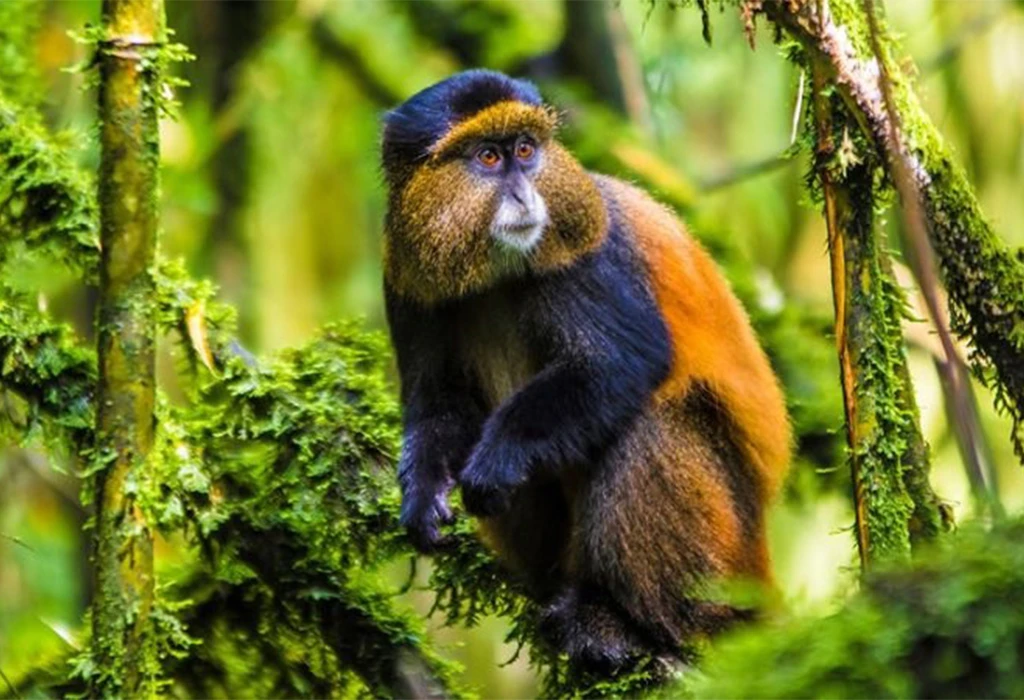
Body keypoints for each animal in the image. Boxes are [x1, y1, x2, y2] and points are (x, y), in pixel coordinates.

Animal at [380, 69, 791, 669]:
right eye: (488, 157)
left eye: (526, 151)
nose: (525, 194)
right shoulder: (406, 280)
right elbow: (438, 403)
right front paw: (423, 492)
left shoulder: (585, 255)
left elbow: (620, 363)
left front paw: (498, 457)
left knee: (650, 422)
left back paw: (631, 623)